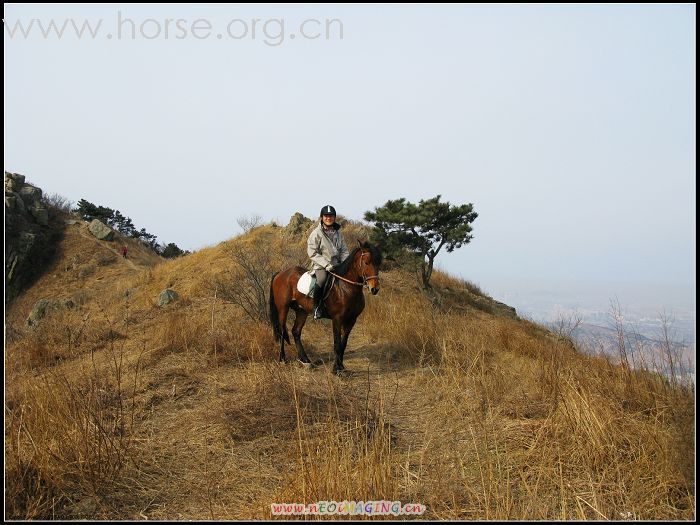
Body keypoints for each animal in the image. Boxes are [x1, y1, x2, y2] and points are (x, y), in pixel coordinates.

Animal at [270, 241, 382, 372]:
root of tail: (281, 273)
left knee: (296, 332)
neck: (346, 287)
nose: (374, 289)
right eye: (366, 262)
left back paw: (305, 361)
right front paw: (336, 369)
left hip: (301, 311)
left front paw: (341, 367)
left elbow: (343, 344)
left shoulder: (351, 320)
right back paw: (282, 359)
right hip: (283, 308)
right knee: (282, 332)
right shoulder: (337, 319)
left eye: (378, 263)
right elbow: (337, 344)